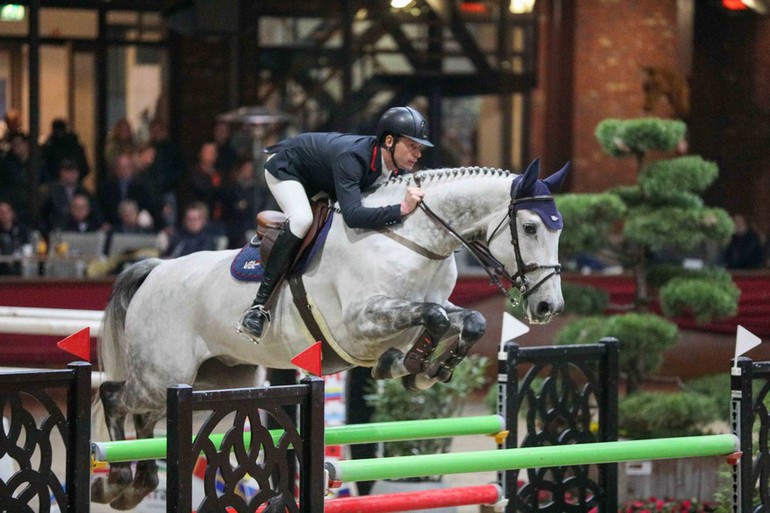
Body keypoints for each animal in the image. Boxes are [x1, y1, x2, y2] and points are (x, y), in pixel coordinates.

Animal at [93, 159, 568, 508]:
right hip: (163, 375)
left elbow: (468, 320)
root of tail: (155, 268)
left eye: (558, 228)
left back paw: (138, 483)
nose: (549, 308)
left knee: (146, 417)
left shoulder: (420, 311)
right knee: (115, 397)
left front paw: (422, 370)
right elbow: (432, 318)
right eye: (530, 228)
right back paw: (116, 479)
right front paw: (411, 366)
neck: (412, 238)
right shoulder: (362, 321)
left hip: (217, 377)